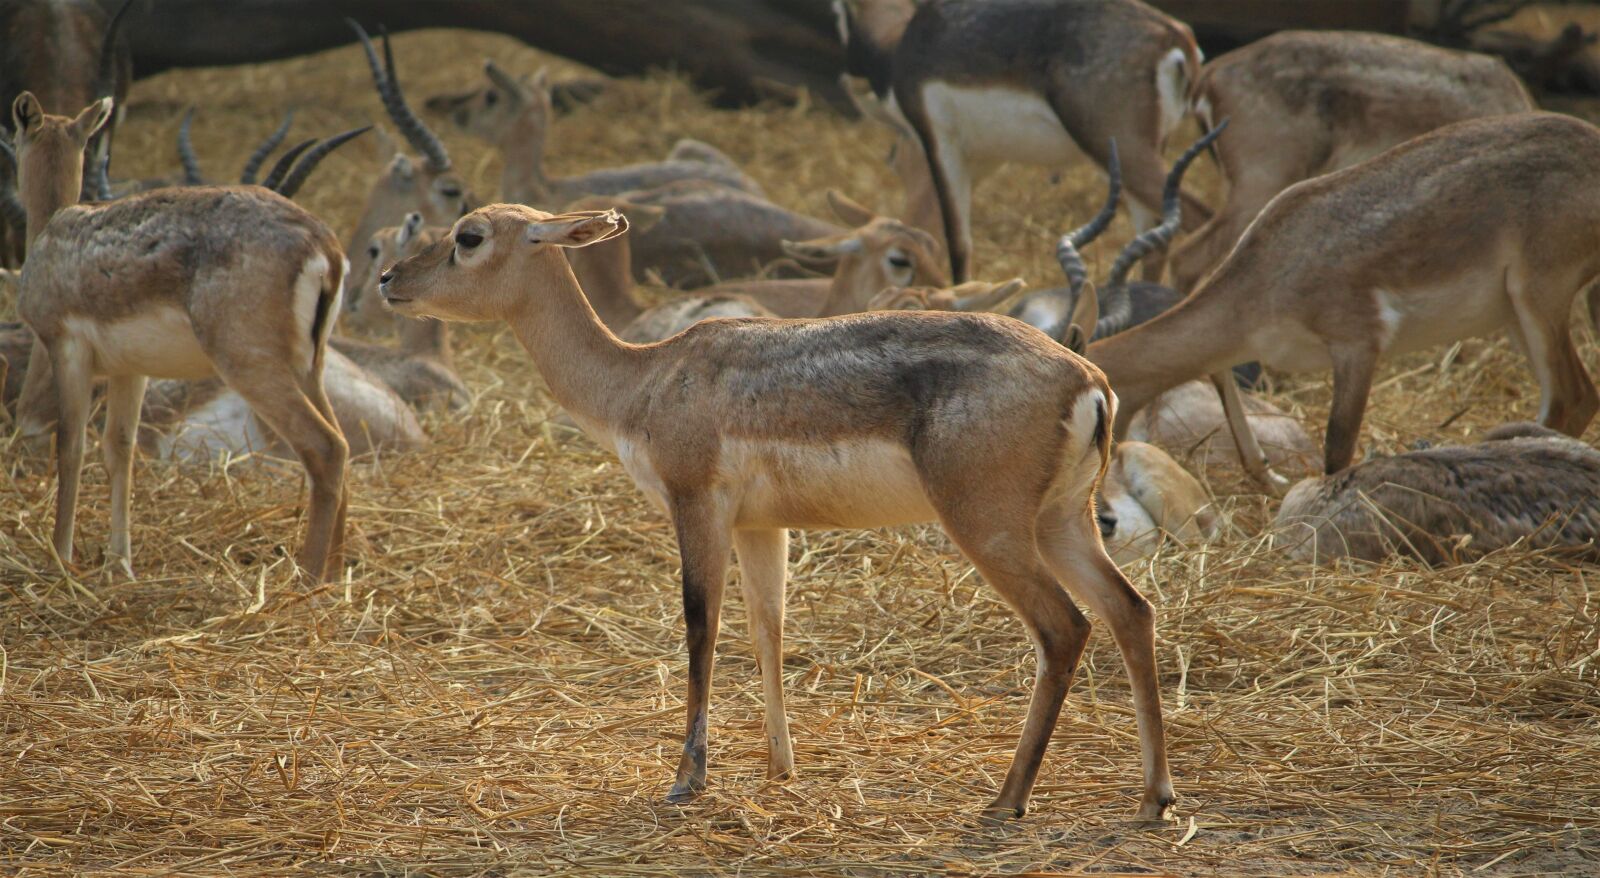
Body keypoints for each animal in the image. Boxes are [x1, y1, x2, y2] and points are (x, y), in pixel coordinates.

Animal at [12, 93, 350, 583]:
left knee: (326, 448)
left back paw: (304, 578)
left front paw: (60, 558)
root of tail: (323, 245)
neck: (51, 233)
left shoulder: (65, 348)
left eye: (14, 133)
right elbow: (119, 449)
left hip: (250, 365)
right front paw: (120, 563)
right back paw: (337, 574)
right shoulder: (130, 370)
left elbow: (70, 447)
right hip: (310, 366)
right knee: (343, 446)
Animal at [375, 202, 1178, 822]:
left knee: (1064, 626)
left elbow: (701, 628)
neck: (643, 380)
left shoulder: (696, 505)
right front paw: (780, 767)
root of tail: (1087, 377)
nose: (387, 278)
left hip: (990, 525)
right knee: (1130, 610)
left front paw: (687, 780)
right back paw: (1153, 799)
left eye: (469, 235)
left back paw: (1007, 799)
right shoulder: (762, 526)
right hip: (1062, 521)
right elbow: (769, 629)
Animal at [838, 0, 1208, 283]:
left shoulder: (941, 143)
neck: (903, 43)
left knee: (1202, 219)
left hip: (1118, 149)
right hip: (1143, 156)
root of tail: (1175, 36)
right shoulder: (983, 159)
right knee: (1156, 238)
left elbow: (957, 241)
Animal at [1085, 112, 1600, 484]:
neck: (1272, 267)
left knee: (1571, 396)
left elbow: (1337, 447)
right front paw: (1269, 478)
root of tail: (1589, 143)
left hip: (1538, 298)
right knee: (1574, 398)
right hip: (1515, 315)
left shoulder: (1358, 345)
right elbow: (1220, 376)